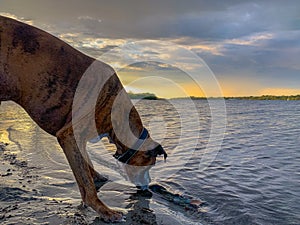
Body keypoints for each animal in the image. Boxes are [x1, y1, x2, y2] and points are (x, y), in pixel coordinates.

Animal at [0, 16, 166, 223]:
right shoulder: (69, 135)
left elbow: (88, 165)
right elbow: (86, 182)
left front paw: (99, 177)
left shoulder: (79, 141)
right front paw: (103, 209)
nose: (147, 190)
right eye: (148, 166)